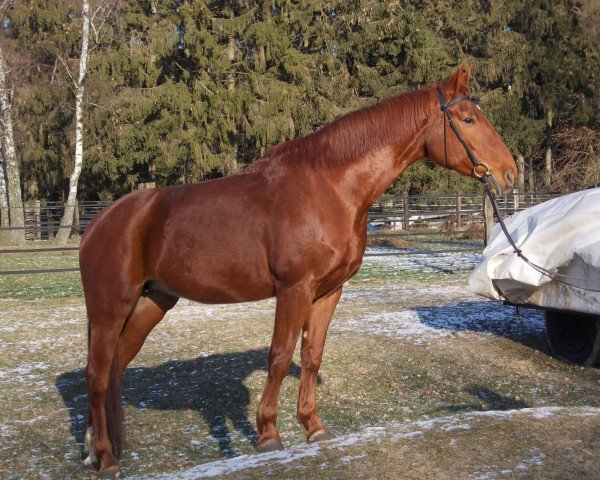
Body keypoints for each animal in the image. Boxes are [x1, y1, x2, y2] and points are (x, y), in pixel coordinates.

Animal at [77, 64, 516, 476]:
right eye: (468, 119)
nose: (509, 172)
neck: (331, 188)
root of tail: (99, 223)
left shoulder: (328, 292)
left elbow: (312, 354)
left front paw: (313, 426)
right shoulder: (294, 289)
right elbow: (280, 354)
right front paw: (268, 434)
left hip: (150, 304)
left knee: (113, 367)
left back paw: (93, 450)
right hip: (109, 310)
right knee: (96, 375)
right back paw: (106, 458)